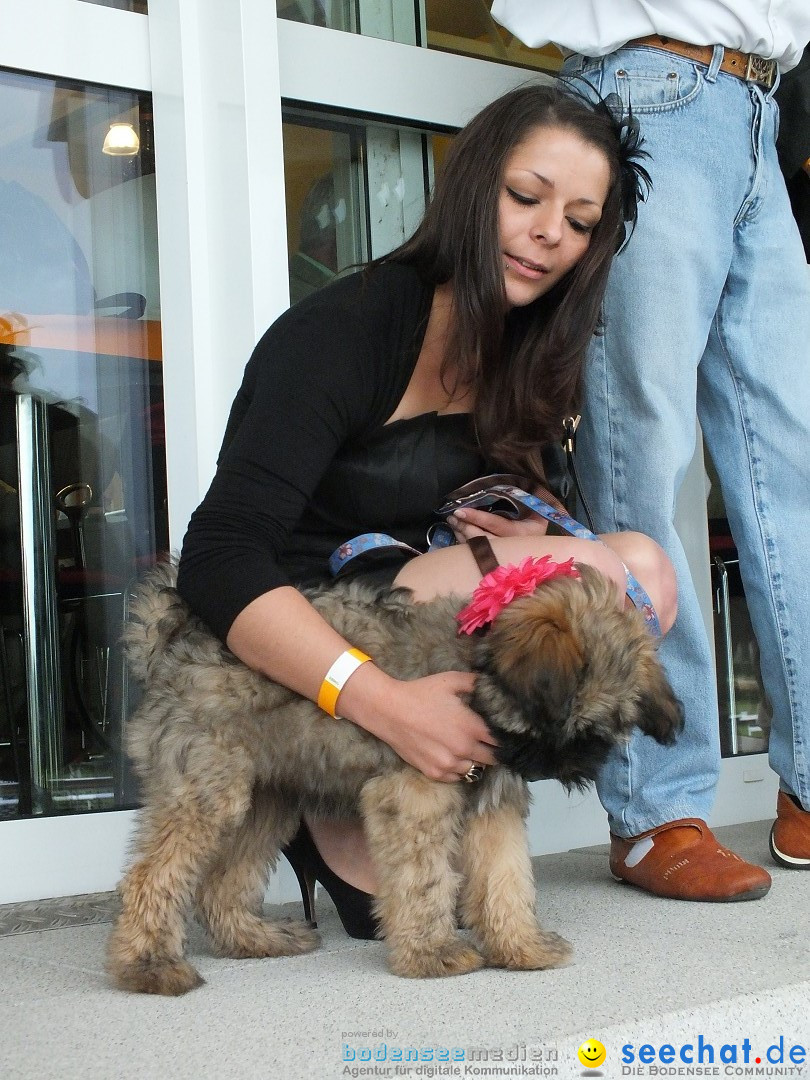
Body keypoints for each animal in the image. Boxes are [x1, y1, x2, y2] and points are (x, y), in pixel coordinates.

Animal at [106, 565, 678, 993]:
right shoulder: (416, 791)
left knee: (223, 882)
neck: (473, 668)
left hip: (266, 798)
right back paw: (148, 966)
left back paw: (254, 940)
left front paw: (521, 946)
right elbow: (424, 879)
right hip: (207, 791)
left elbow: (506, 877)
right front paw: (432, 953)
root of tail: (173, 643)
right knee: (151, 876)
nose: (548, 765)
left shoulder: (492, 804)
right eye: (556, 723)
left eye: (595, 735)